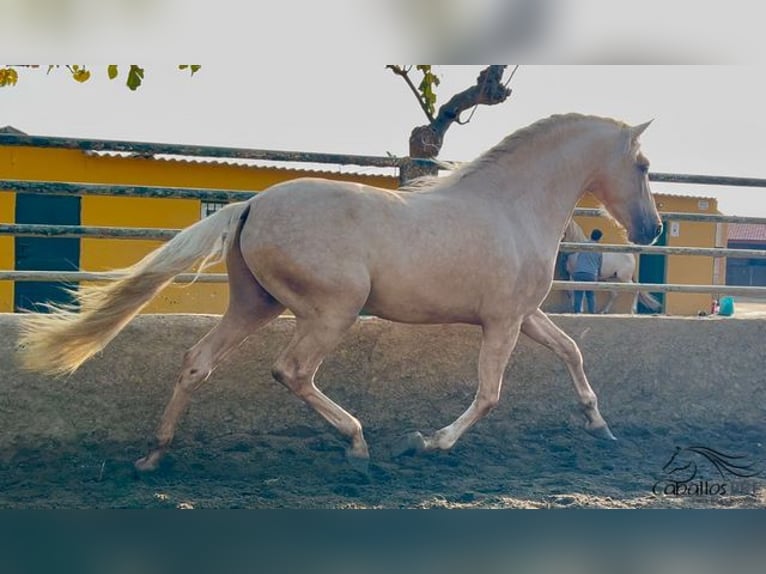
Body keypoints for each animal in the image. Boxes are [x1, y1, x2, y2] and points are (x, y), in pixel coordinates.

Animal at [18, 113, 664, 472]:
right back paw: (357, 444)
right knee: (292, 371)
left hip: (255, 304)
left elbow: (571, 352)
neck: (512, 207)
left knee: (197, 361)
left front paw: (599, 426)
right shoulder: (503, 322)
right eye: (644, 166)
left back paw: (154, 456)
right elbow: (488, 395)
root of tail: (251, 204)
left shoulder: (524, 316)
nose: (653, 230)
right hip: (332, 311)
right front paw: (427, 443)